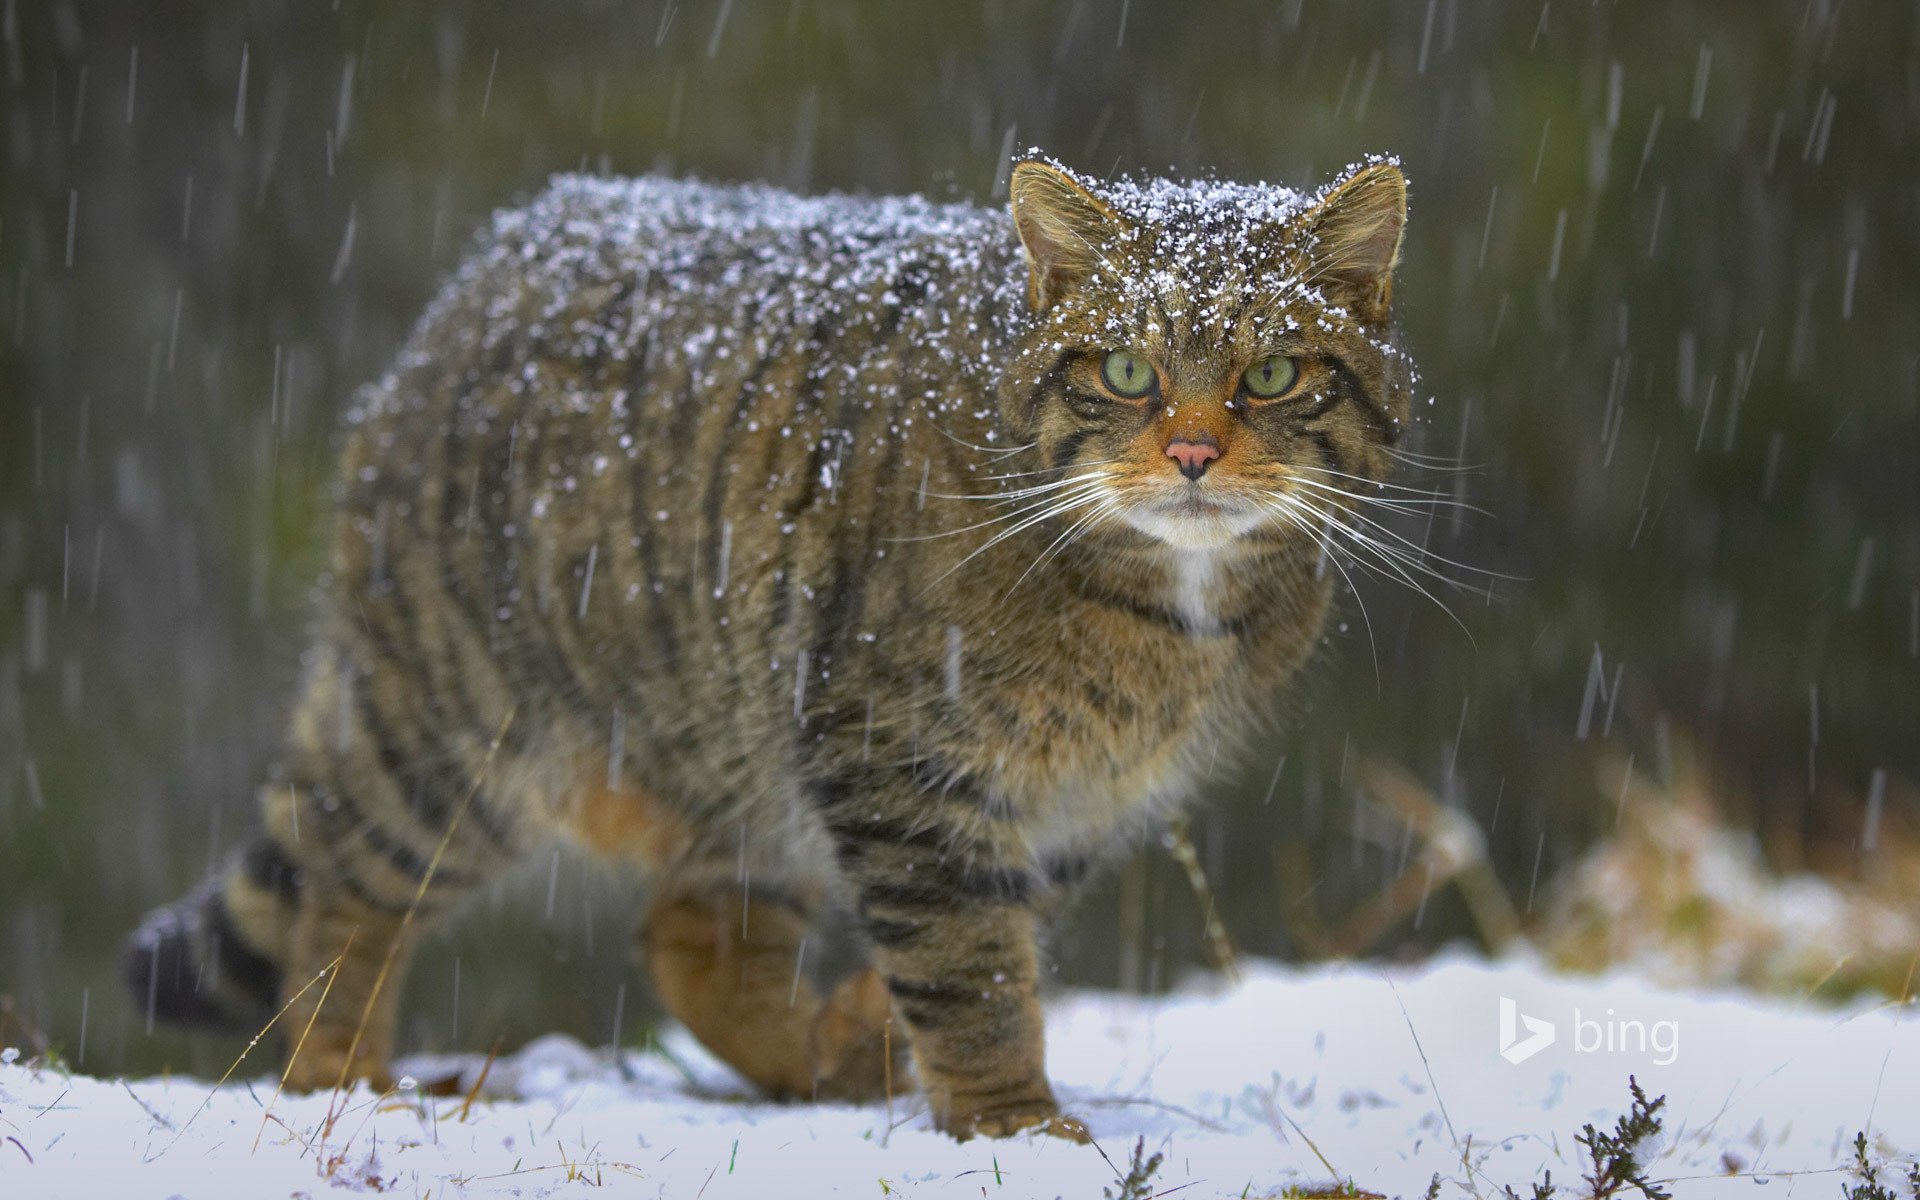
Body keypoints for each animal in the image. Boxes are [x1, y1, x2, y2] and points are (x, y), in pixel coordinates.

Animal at [120, 149, 1413, 1144]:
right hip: (456, 730)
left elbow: (981, 943)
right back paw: (343, 1074)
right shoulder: (902, 753)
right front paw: (1010, 1122)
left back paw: (817, 1054)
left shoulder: (1074, 802)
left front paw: (880, 1040)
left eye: (1273, 373)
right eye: (1129, 370)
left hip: (743, 748)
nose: (1193, 454)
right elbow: (969, 965)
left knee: (690, 937)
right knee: (344, 895)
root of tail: (495, 258)